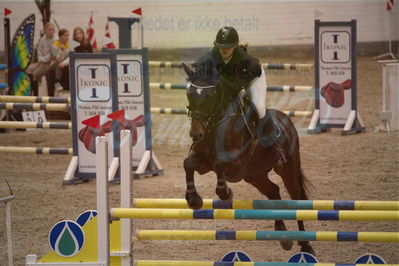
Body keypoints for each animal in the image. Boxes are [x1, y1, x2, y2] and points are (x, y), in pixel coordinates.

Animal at [181, 62, 316, 256]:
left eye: (211, 95)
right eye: (189, 93)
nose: (195, 134)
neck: (215, 126)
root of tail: (286, 119)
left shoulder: (236, 161)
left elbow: (219, 163)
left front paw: (225, 192)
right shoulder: (203, 163)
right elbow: (189, 163)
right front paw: (193, 199)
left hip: (288, 169)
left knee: (297, 199)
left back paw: (305, 245)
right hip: (255, 175)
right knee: (274, 191)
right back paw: (283, 235)